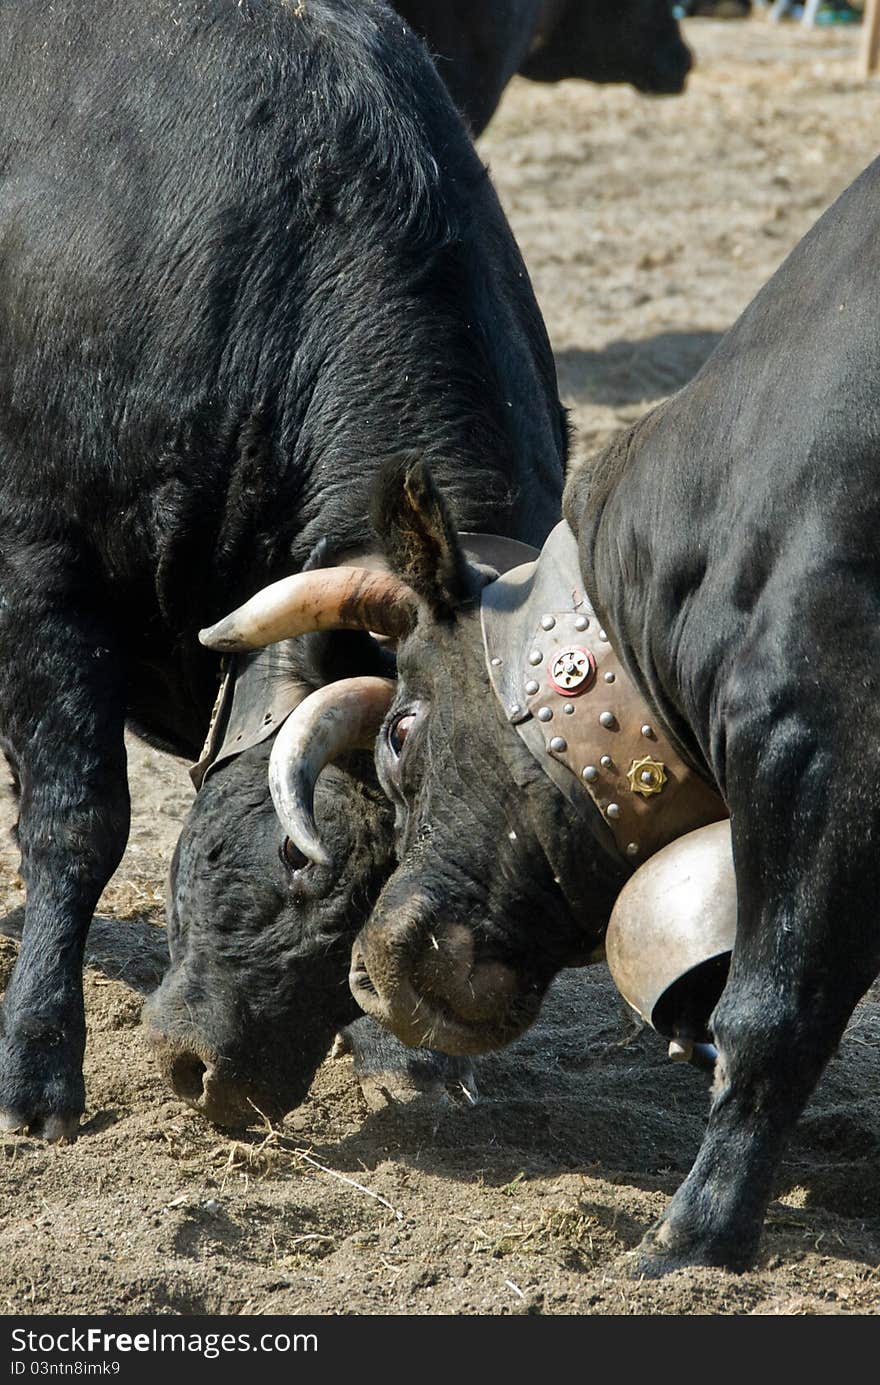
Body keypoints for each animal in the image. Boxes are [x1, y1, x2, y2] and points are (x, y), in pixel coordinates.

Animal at [0, 0, 565, 1141]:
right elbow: (79, 819)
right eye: (303, 854)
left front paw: (404, 1058)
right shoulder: (42, 568)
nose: (218, 1079)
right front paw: (38, 1061)